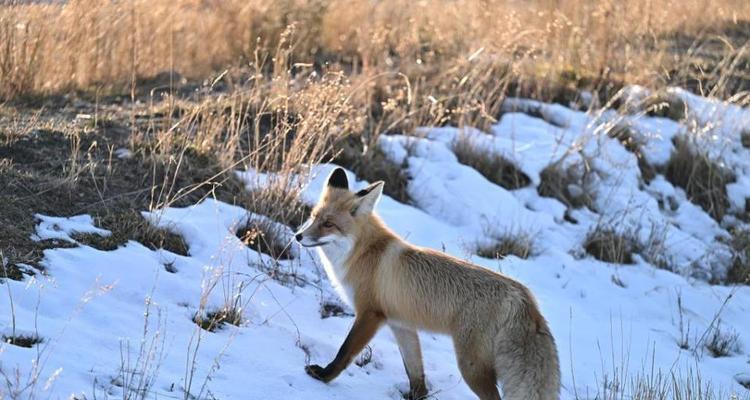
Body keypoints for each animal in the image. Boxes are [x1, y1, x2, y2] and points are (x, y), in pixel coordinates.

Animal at [296, 167, 560, 398]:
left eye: (329, 224)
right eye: (313, 217)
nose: (297, 236)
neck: (363, 252)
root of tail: (524, 295)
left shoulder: (369, 314)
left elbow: (344, 352)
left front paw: (324, 376)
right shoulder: (400, 324)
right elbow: (415, 371)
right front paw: (416, 395)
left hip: (470, 366)